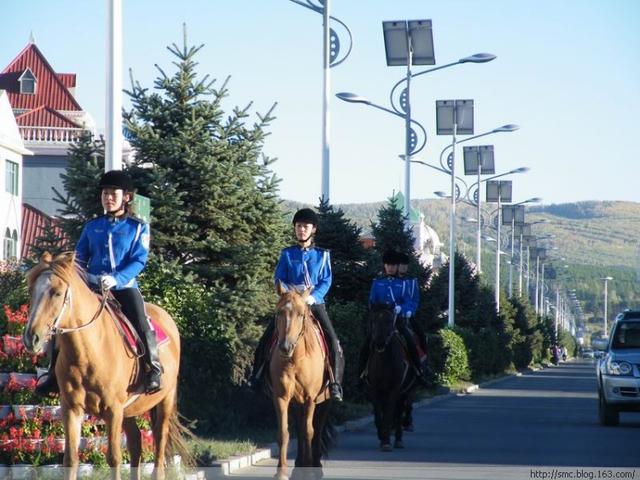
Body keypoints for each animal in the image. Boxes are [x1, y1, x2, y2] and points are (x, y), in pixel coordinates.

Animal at [22, 253, 188, 478]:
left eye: (57, 293)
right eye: (32, 290)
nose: (31, 338)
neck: (88, 352)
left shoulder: (113, 409)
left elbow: (114, 458)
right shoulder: (71, 408)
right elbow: (70, 459)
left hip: (164, 402)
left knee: (159, 451)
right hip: (129, 411)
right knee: (135, 443)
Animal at [268, 284, 336, 480]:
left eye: (301, 314)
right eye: (279, 312)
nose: (285, 347)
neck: (295, 359)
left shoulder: (310, 398)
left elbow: (309, 432)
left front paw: (309, 469)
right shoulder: (281, 397)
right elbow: (284, 433)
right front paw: (281, 472)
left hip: (324, 401)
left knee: (317, 429)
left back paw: (316, 466)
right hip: (296, 403)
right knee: (299, 428)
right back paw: (298, 465)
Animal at [364, 306, 416, 452]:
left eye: (389, 321)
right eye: (373, 320)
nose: (379, 343)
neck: (384, 360)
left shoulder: (394, 390)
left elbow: (388, 415)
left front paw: (386, 440)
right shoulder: (374, 389)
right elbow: (378, 414)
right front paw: (382, 435)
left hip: (404, 392)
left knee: (399, 413)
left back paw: (398, 439)